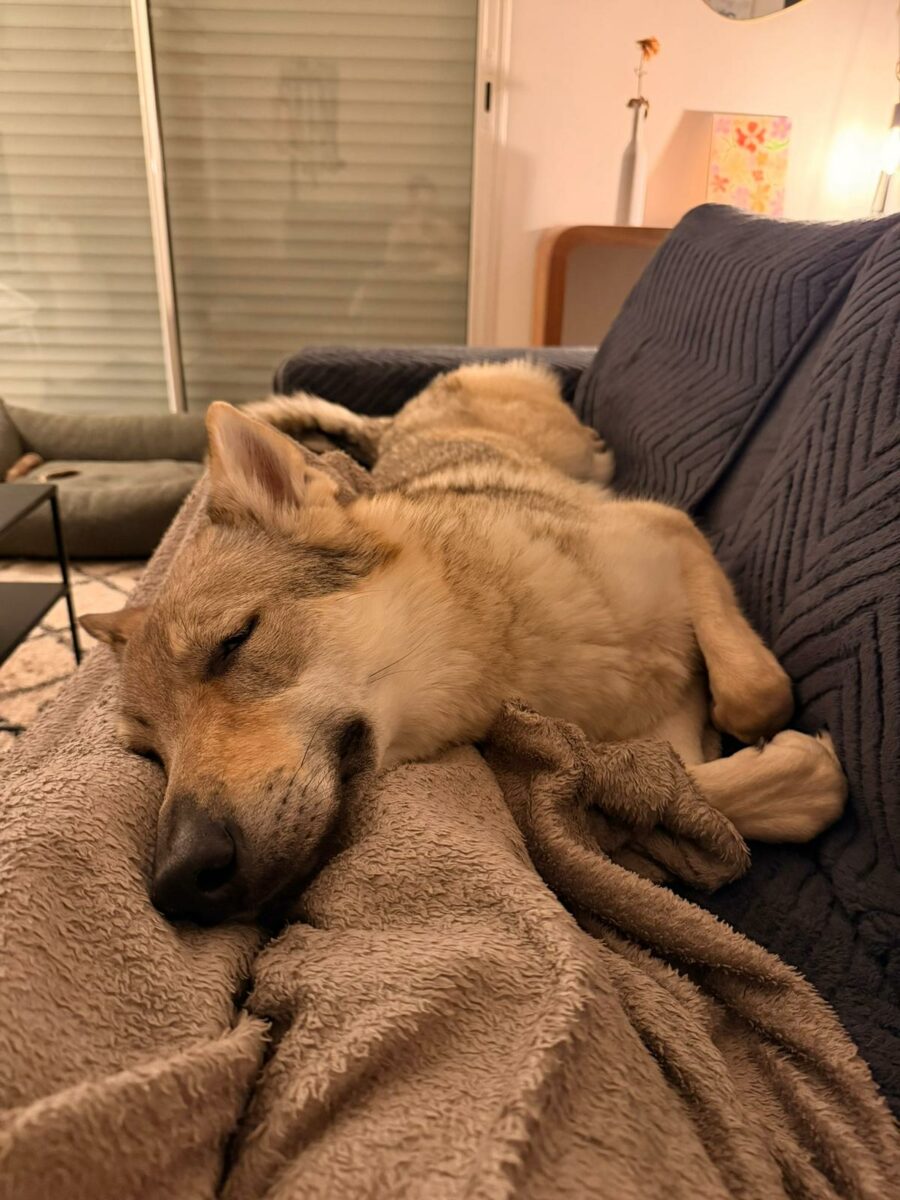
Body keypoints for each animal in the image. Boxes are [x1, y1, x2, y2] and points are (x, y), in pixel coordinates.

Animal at [81, 361, 845, 925]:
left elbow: (755, 694)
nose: (175, 883)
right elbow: (677, 785)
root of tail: (400, 417)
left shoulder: (668, 528)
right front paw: (788, 774)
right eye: (150, 750)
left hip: (560, 440)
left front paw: (781, 743)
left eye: (234, 642)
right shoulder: (636, 748)